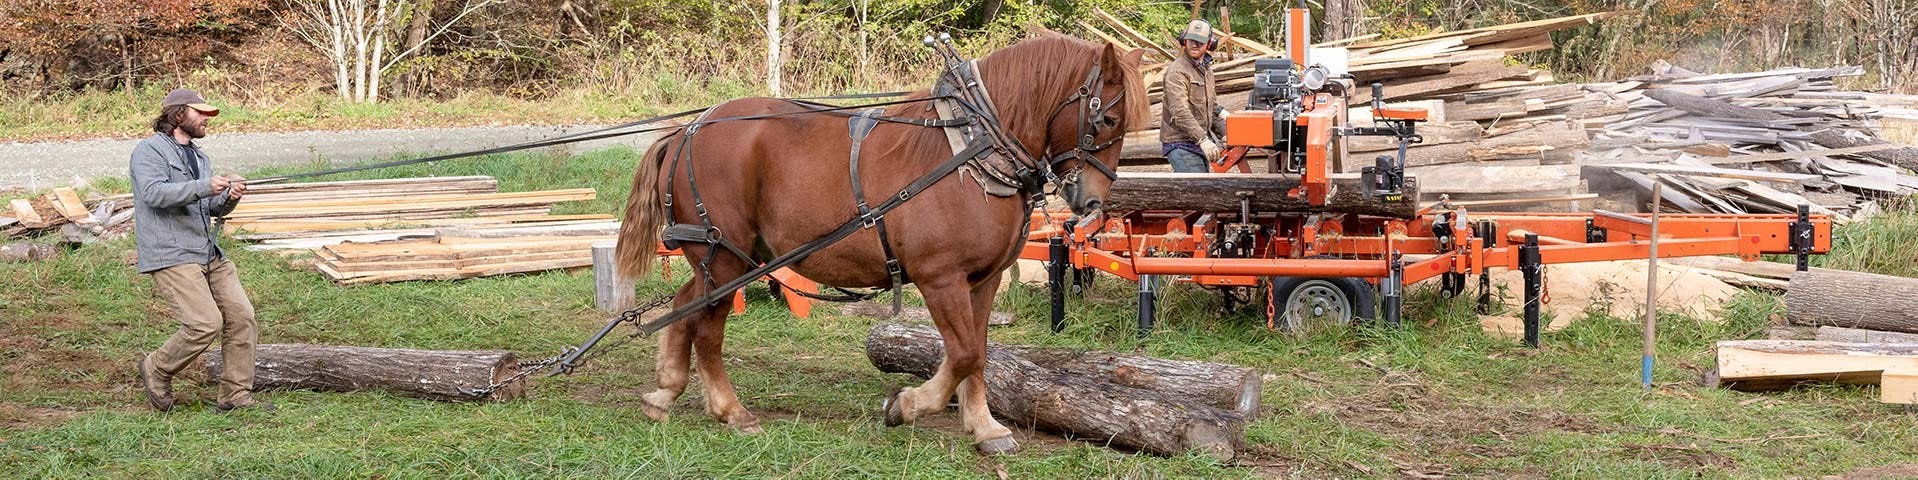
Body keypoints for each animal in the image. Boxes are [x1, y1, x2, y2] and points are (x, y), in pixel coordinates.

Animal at [613, 34, 1143, 453]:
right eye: (1108, 120)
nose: (1092, 203)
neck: (971, 152)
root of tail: (688, 129)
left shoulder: (983, 280)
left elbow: (978, 352)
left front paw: (985, 427)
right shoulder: (939, 277)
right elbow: (963, 354)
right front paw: (906, 405)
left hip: (724, 259)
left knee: (683, 306)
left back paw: (665, 391)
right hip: (724, 256)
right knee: (707, 328)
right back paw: (730, 410)